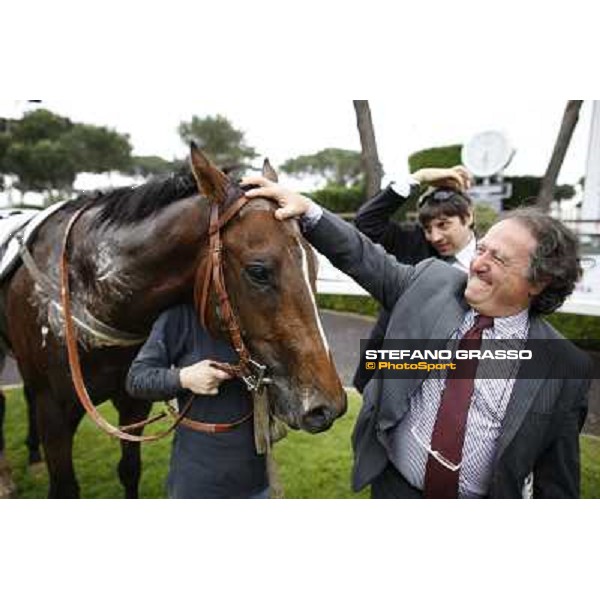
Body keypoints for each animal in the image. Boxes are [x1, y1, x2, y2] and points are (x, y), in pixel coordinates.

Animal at [0, 144, 346, 496]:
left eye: (316, 266)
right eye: (258, 271)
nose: (327, 406)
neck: (84, 286)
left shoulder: (132, 401)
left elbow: (129, 469)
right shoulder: (54, 412)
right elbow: (65, 487)